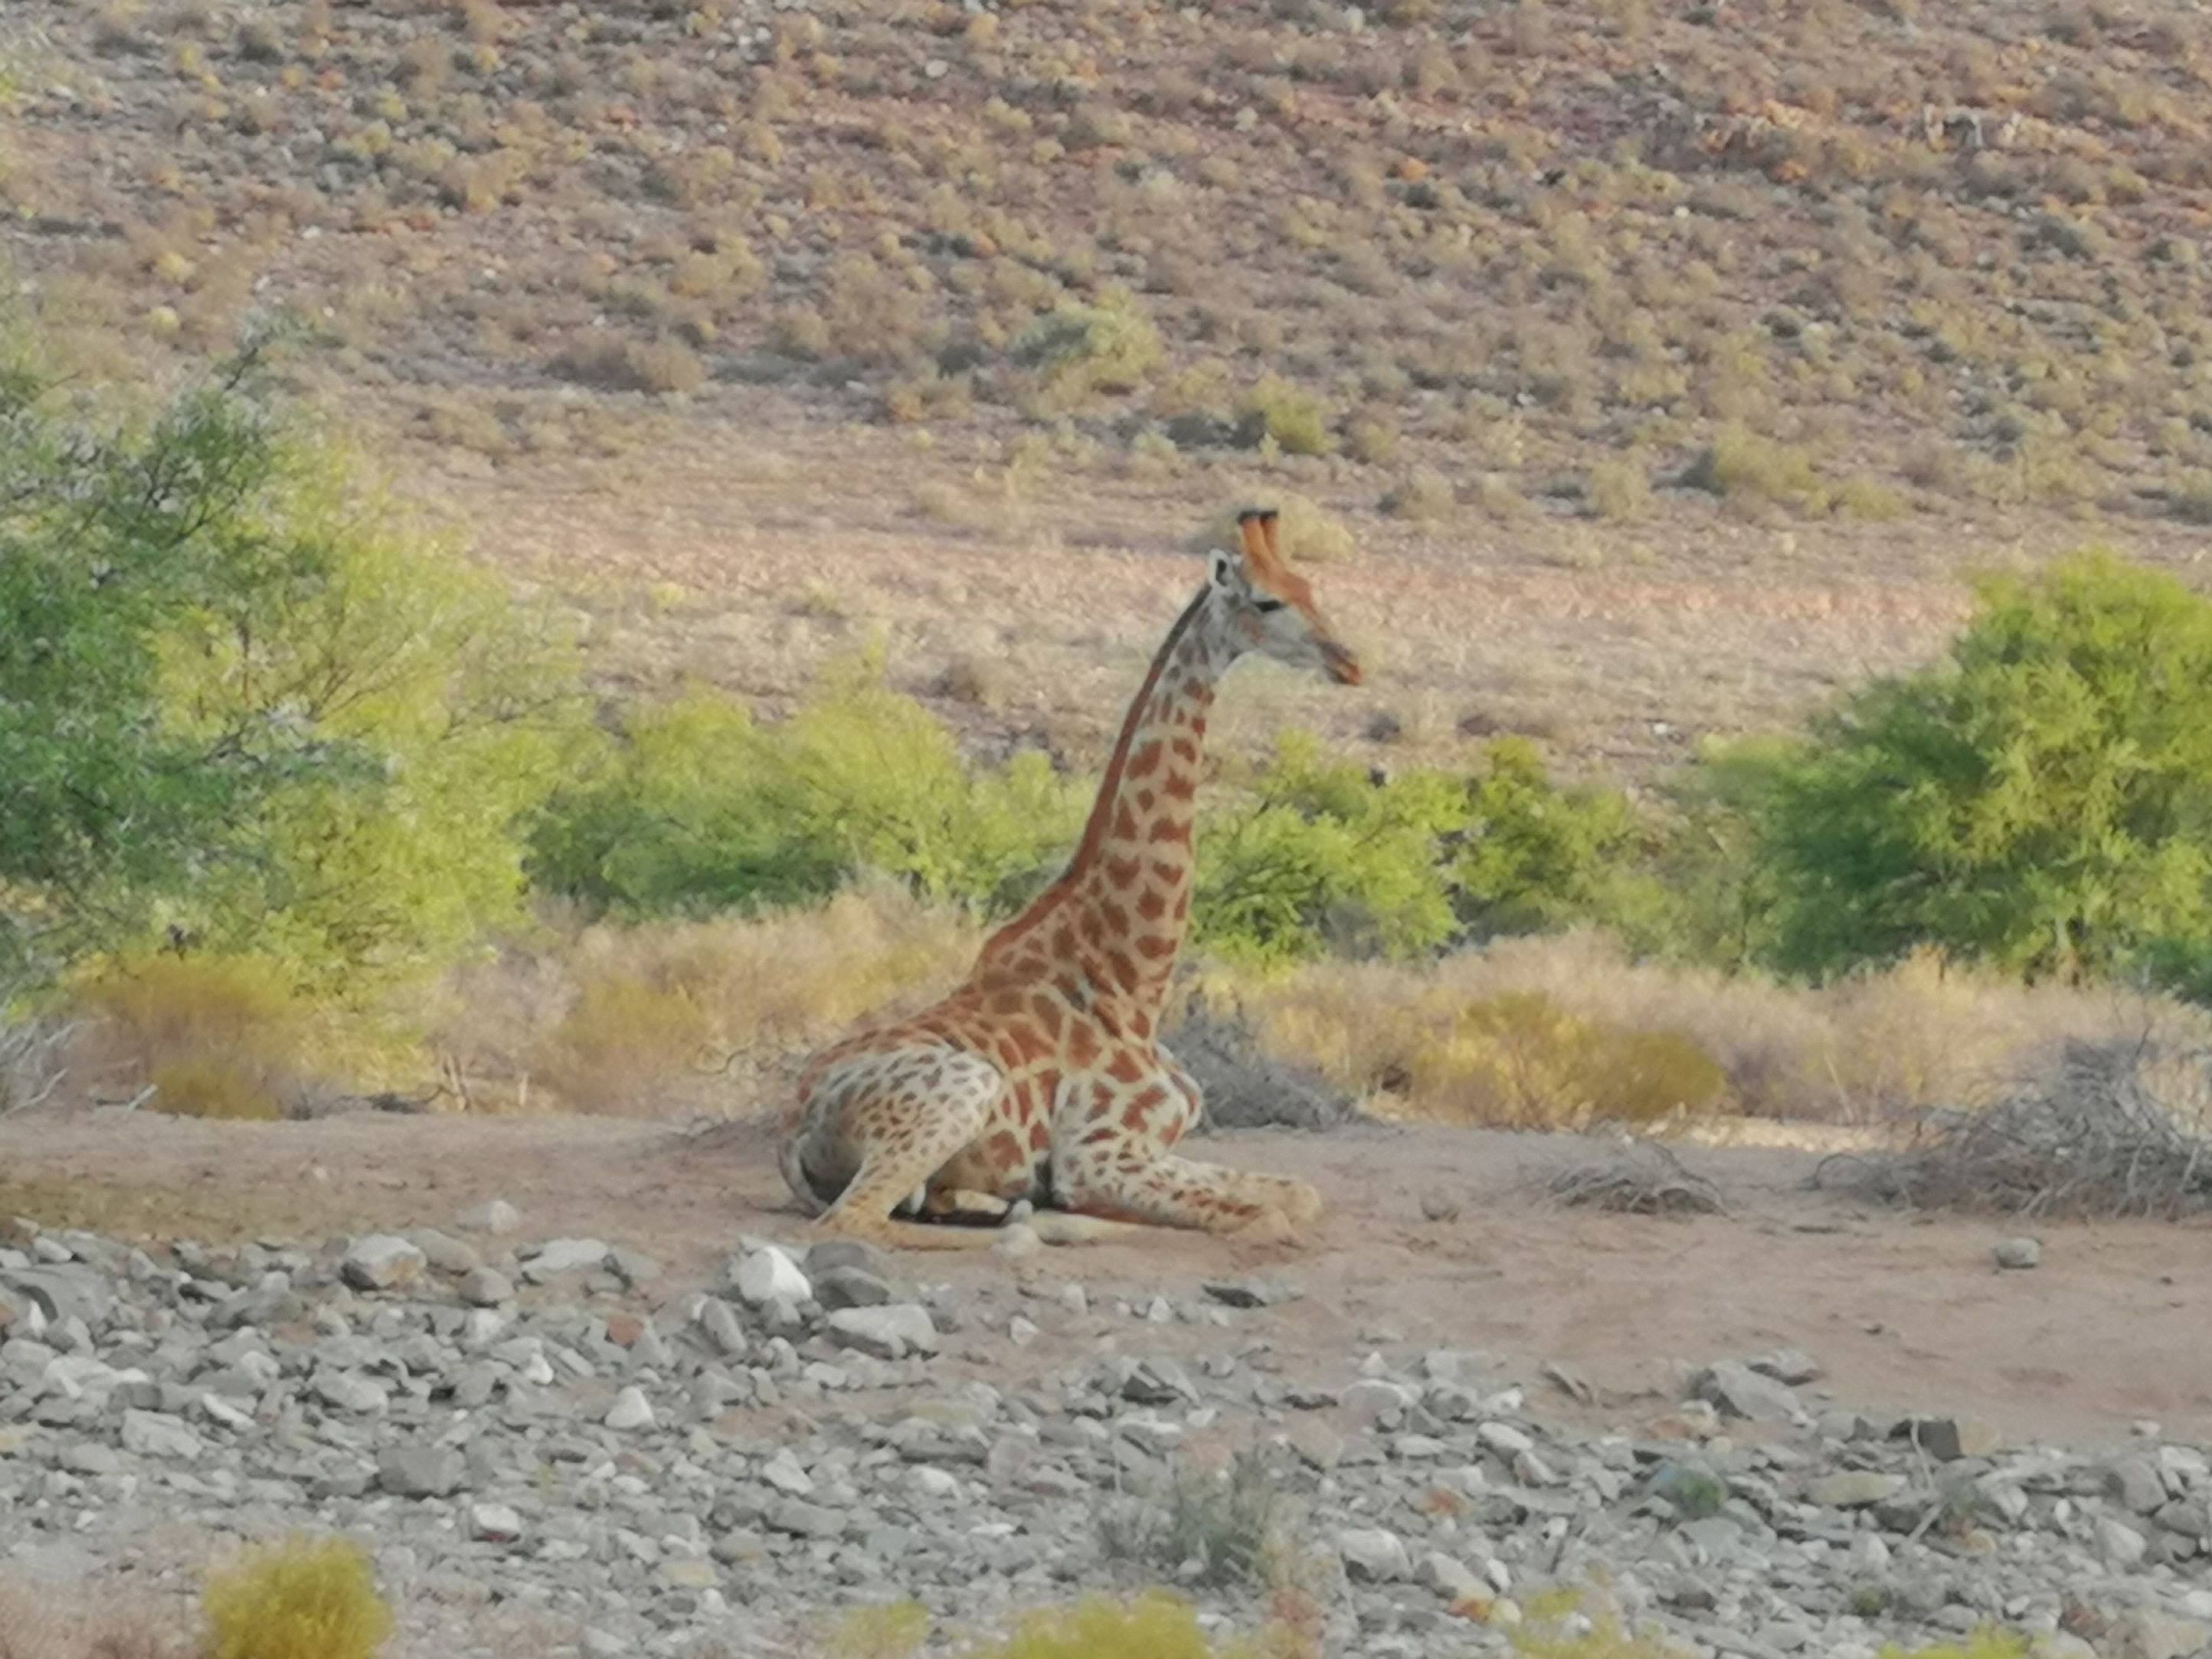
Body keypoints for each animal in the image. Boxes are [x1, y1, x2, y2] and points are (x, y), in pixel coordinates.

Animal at [778, 508, 1362, 1250]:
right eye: (1267, 602)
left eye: (1310, 587)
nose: (1351, 662)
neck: (1133, 979)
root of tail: (792, 1129)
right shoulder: (1098, 1155)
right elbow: (1269, 1216)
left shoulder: (1152, 1147)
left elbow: (1300, 1194)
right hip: (962, 1088)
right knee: (853, 1221)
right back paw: (1026, 1226)